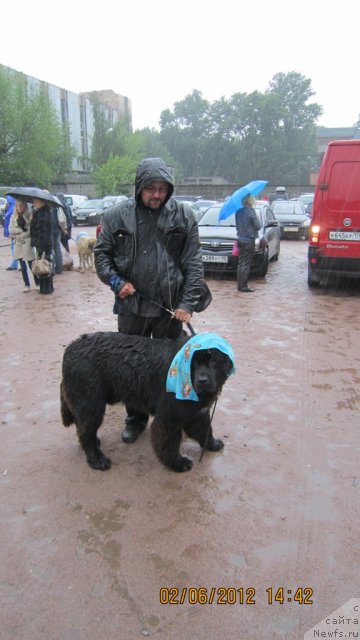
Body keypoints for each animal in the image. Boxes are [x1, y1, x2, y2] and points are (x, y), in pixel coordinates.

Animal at [60, 332, 235, 472]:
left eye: (214, 361)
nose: (202, 381)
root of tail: (70, 348)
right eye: (193, 363)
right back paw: (97, 460)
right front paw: (177, 463)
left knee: (83, 427)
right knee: (85, 431)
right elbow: (169, 442)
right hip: (91, 403)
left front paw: (212, 444)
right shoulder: (169, 416)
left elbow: (205, 429)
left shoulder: (198, 411)